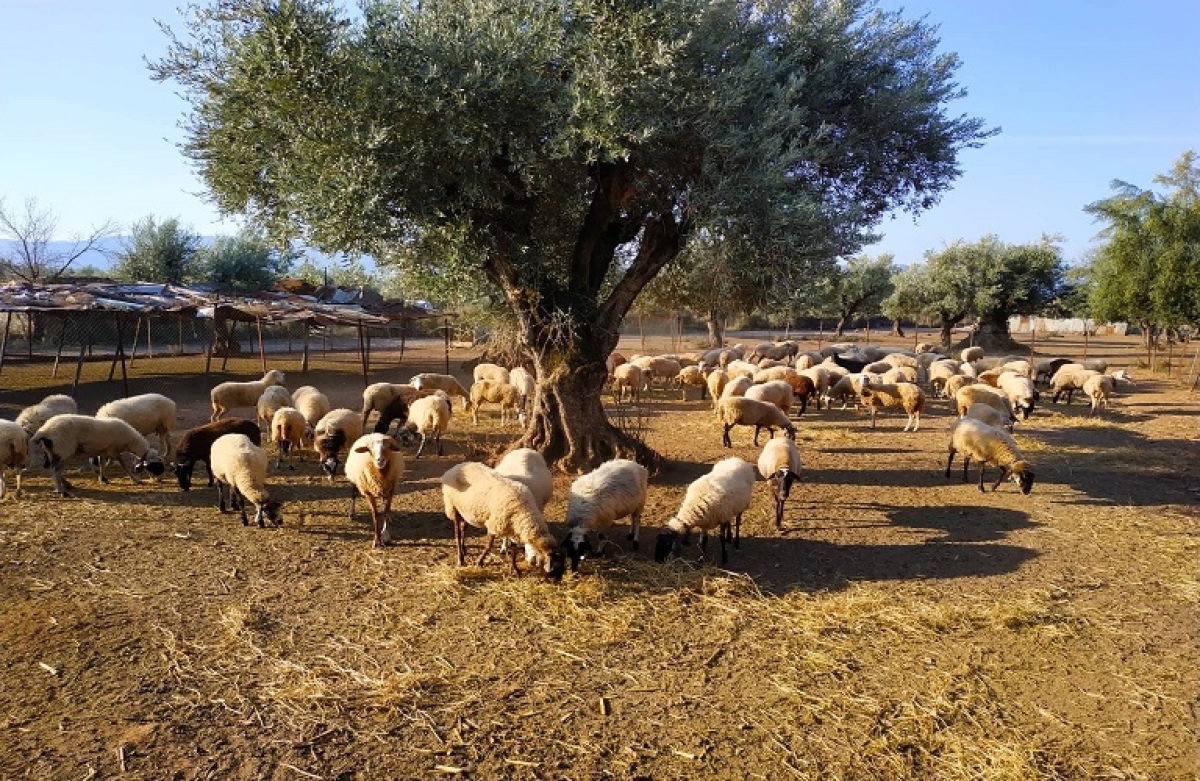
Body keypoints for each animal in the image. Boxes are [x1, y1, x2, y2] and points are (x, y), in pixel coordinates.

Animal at [30, 415, 165, 494]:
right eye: (157, 467)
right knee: (55, 470)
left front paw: (103, 478)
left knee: (51, 468)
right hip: (62, 450)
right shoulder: (113, 451)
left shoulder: (104, 451)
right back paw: (60, 489)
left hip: (52, 452)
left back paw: (67, 484)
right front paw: (136, 480)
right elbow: (123, 465)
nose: (160, 480)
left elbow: (102, 464)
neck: (130, 441)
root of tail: (44, 431)